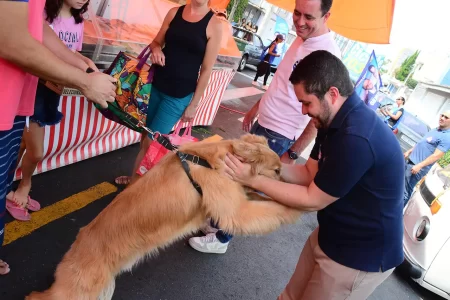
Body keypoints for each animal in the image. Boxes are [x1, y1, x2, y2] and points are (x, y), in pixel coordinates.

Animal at [27, 134, 302, 300]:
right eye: (276, 170)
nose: (290, 180)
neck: (219, 157)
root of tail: (76, 246)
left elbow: (262, 200)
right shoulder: (237, 212)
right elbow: (274, 210)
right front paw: (301, 206)